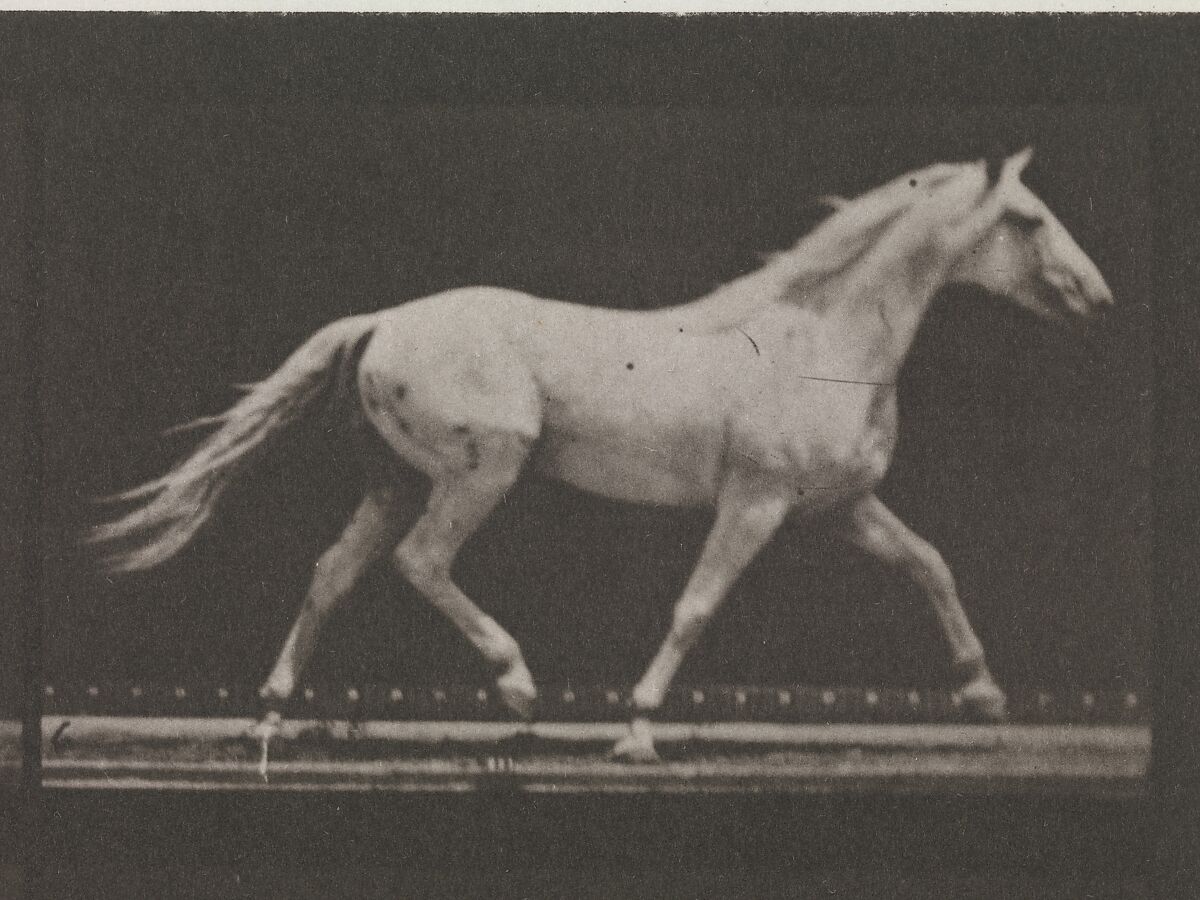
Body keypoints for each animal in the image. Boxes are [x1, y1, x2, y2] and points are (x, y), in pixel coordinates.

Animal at [88, 148, 1114, 769]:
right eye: (1027, 219)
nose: (1097, 299)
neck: (819, 343)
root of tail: (382, 322)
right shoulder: (754, 503)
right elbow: (695, 606)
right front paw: (637, 729)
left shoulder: (840, 507)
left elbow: (931, 565)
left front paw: (984, 696)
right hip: (479, 471)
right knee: (421, 563)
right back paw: (516, 686)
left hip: (397, 481)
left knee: (332, 572)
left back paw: (267, 716)